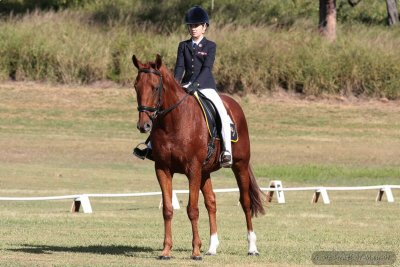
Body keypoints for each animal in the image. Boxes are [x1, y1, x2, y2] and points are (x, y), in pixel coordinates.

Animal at [132, 55, 266, 262]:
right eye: (136, 86)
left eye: (155, 87)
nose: (144, 125)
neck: (173, 122)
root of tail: (234, 104)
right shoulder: (163, 169)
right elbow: (168, 209)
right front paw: (166, 251)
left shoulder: (193, 169)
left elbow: (192, 210)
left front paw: (195, 251)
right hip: (205, 172)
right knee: (211, 202)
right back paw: (212, 248)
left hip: (240, 166)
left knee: (245, 202)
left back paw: (252, 247)